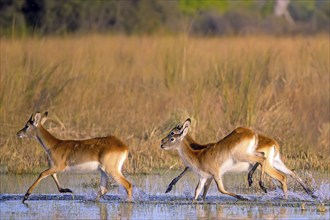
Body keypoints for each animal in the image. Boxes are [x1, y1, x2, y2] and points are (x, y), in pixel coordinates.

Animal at [165, 124, 318, 199]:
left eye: (172, 134)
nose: (162, 142)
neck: (198, 150)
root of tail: (273, 143)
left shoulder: (212, 173)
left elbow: (188, 170)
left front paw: (169, 187)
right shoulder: (207, 175)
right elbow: (200, 191)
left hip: (264, 163)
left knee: (280, 175)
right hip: (276, 162)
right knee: (291, 173)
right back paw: (311, 193)